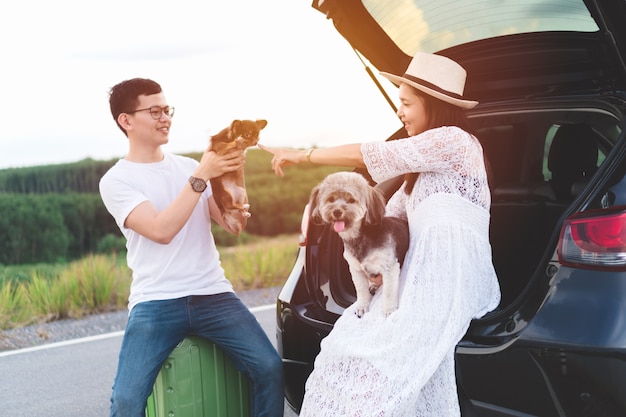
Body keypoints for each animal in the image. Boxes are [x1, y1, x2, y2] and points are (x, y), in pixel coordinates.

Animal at [308, 170, 410, 316]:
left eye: (351, 200)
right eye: (331, 199)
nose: (337, 211)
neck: (360, 236)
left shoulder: (389, 267)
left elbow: (389, 292)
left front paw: (389, 310)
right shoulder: (356, 270)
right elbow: (361, 290)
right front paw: (362, 306)